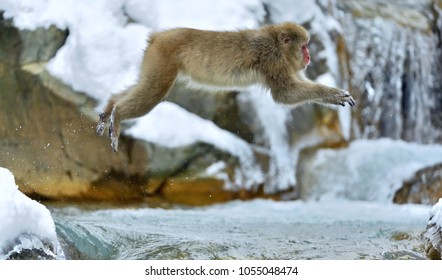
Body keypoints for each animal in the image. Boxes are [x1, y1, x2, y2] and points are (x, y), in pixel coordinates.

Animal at [97, 23, 356, 152]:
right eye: (304, 46)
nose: (309, 57)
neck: (275, 44)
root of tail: (159, 37)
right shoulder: (273, 60)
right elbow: (285, 94)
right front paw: (334, 94)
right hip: (163, 57)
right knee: (154, 91)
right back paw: (118, 115)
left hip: (154, 59)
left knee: (145, 84)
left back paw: (110, 107)